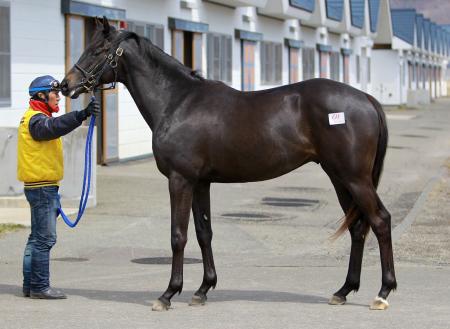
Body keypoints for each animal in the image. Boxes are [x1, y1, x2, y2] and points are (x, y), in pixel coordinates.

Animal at [60, 18, 398, 310]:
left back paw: (383, 293)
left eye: (98, 50)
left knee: (380, 221)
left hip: (354, 177)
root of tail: (366, 99)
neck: (178, 101)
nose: (66, 85)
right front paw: (202, 289)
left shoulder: (180, 180)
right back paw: (343, 290)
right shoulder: (200, 182)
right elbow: (203, 233)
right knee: (358, 227)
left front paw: (168, 294)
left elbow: (178, 236)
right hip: (339, 177)